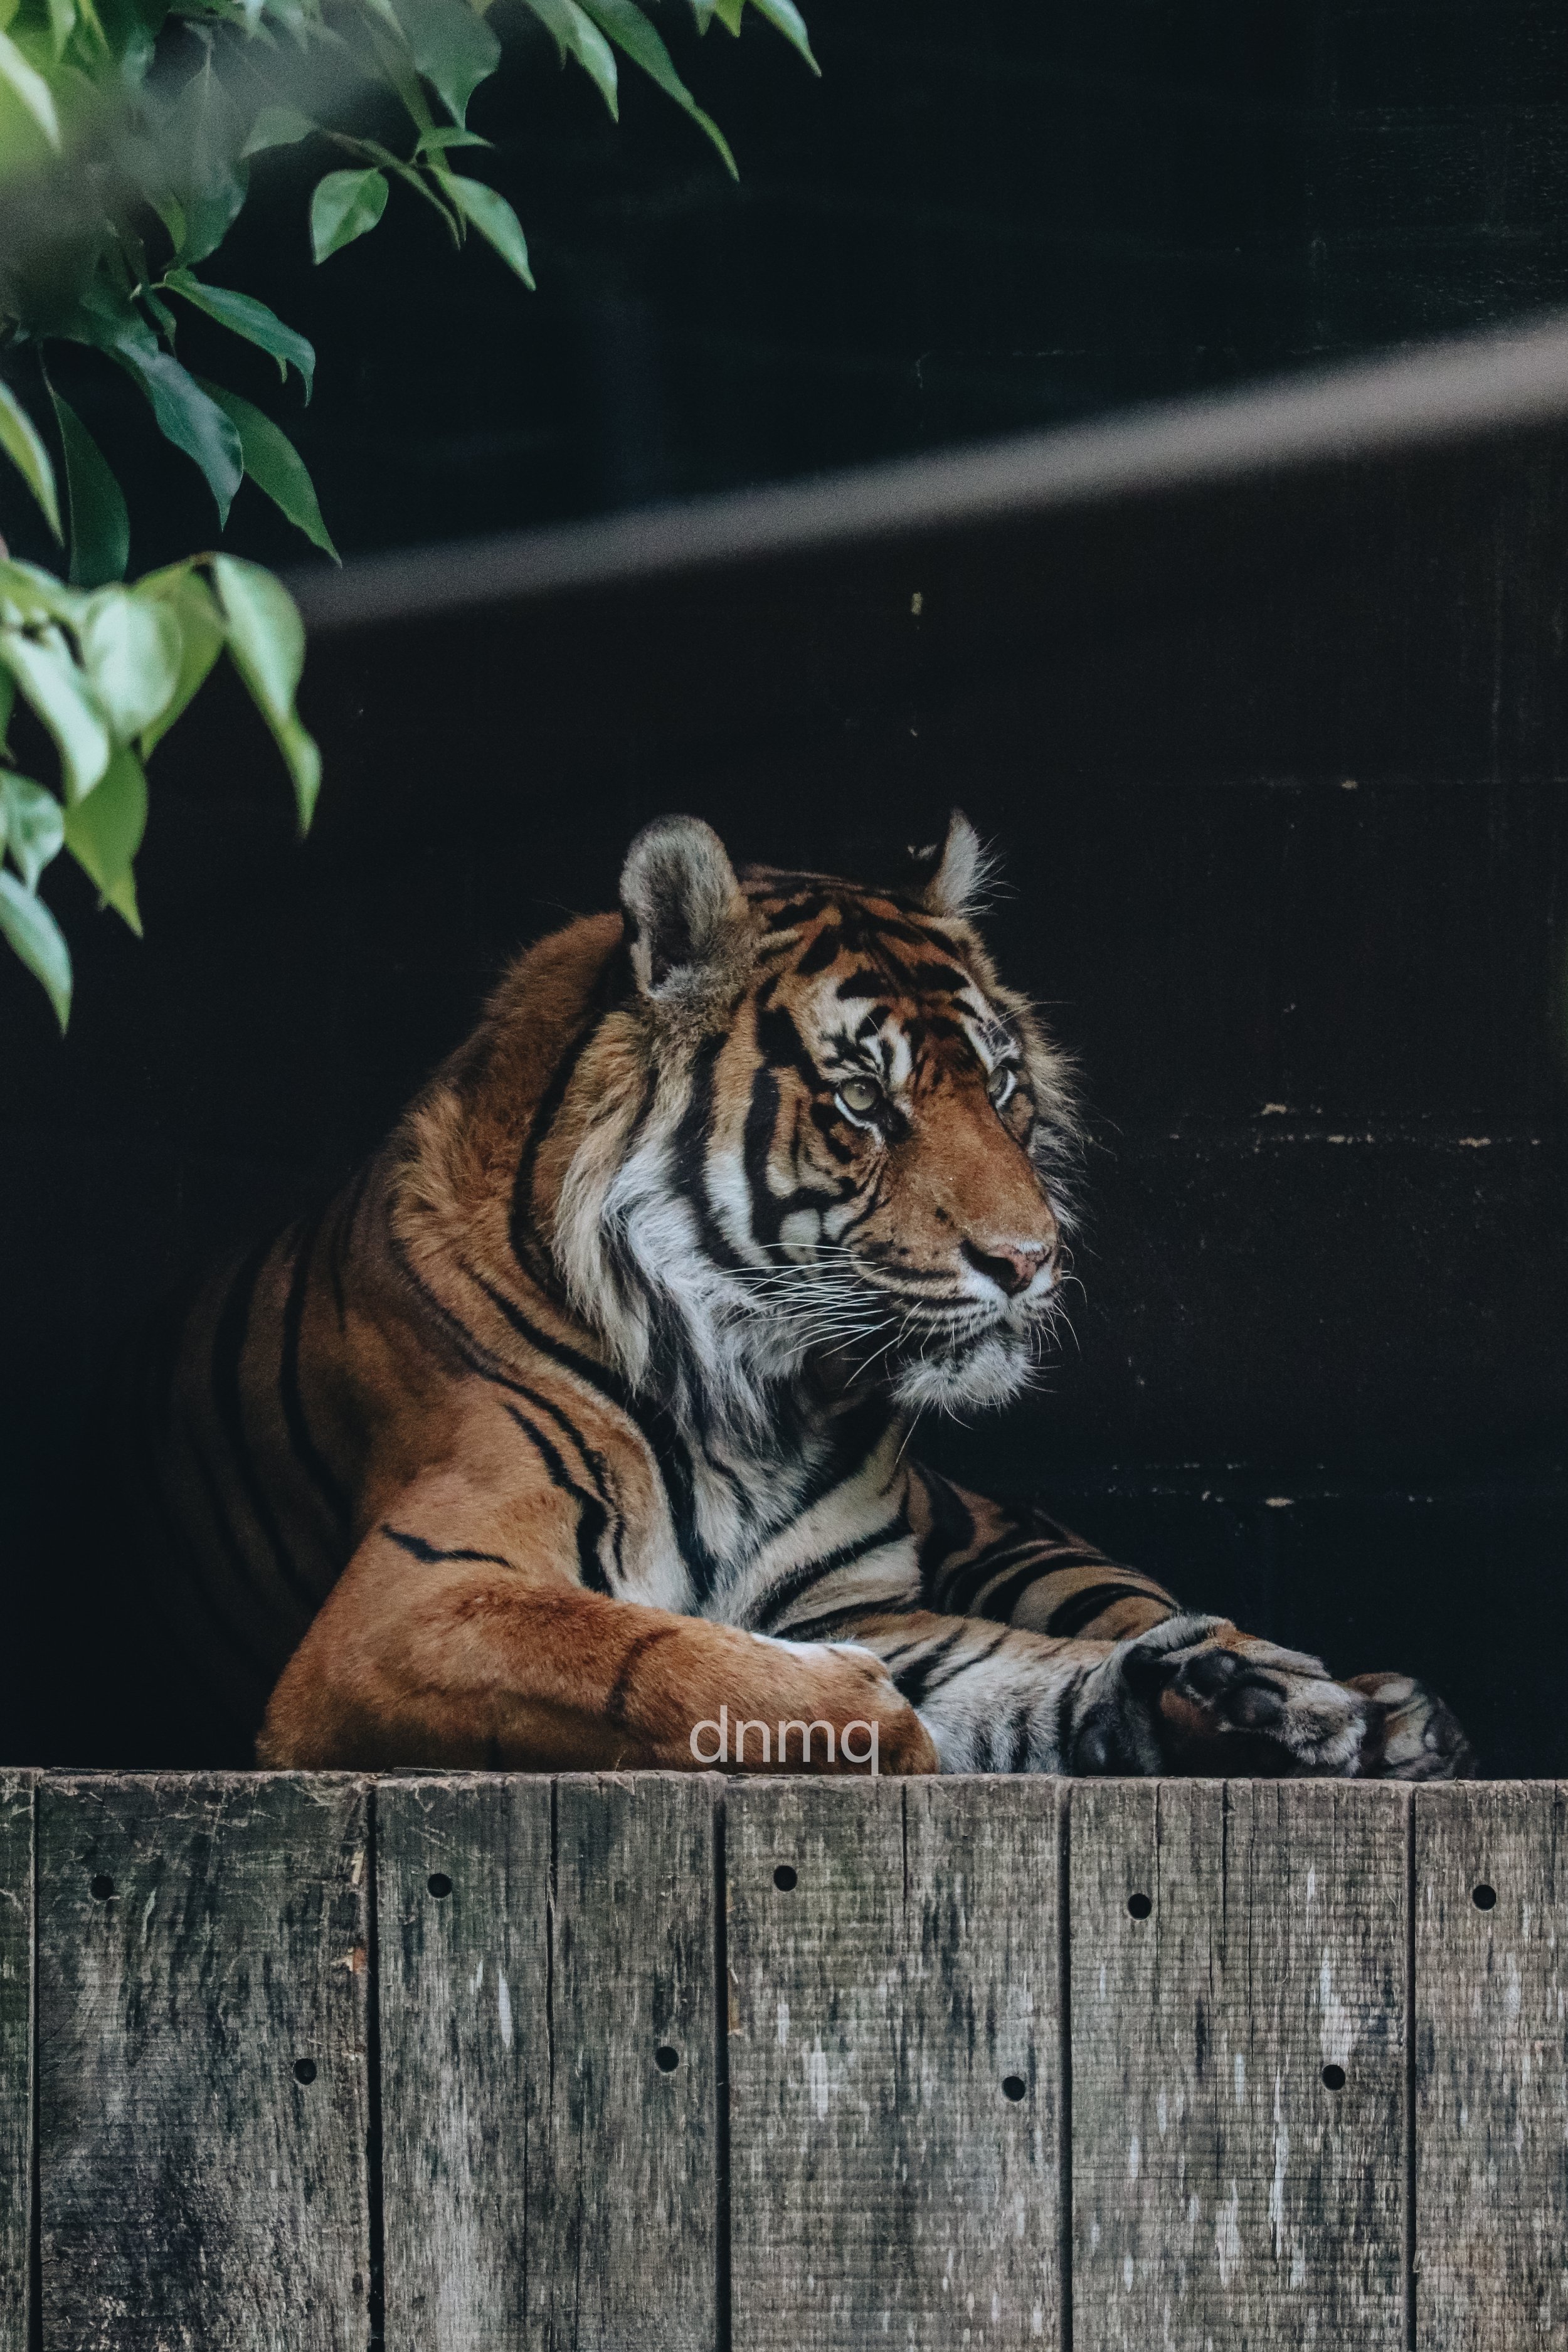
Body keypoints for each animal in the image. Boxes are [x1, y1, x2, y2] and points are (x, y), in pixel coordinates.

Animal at [124, 811, 1473, 1780]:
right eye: (864, 1099)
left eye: (1000, 1086)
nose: (1030, 1260)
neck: (750, 1399)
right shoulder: (403, 1604)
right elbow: (652, 1655)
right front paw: (876, 1711)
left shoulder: (863, 1597)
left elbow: (1009, 1665)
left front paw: (1214, 1693)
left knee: (1142, 1606)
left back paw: (1324, 1698)